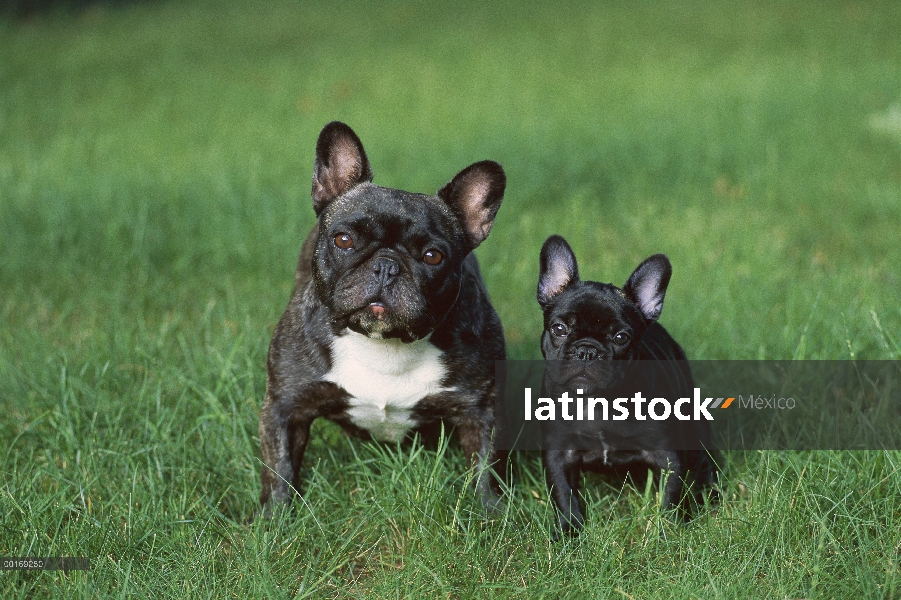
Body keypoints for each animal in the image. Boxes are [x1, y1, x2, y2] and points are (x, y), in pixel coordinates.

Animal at [260, 120, 510, 510]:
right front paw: (276, 516)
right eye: (344, 240)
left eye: (433, 256)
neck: (384, 344)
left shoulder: (481, 409)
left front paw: (488, 510)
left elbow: (485, 466)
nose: (387, 266)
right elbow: (279, 468)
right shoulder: (285, 406)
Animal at [536, 236, 716, 536]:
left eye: (621, 337)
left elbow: (670, 496)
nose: (587, 350)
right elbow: (564, 495)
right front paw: (570, 532)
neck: (597, 402)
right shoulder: (559, 453)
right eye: (559, 329)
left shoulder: (666, 455)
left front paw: (667, 532)